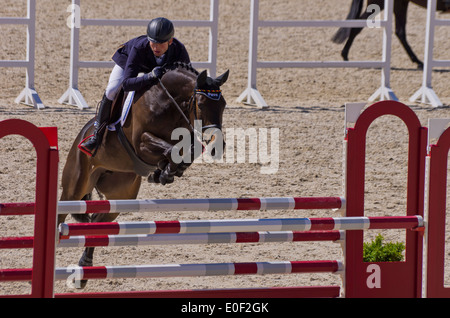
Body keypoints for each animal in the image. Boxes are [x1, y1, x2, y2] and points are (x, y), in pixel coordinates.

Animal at [59, 62, 229, 288]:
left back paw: (84, 269)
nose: (218, 146)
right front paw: (167, 170)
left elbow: (189, 149)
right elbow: (170, 149)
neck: (170, 102)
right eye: (201, 104)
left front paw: (166, 172)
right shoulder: (141, 142)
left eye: (224, 105)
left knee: (96, 222)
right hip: (75, 186)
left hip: (120, 196)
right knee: (63, 210)